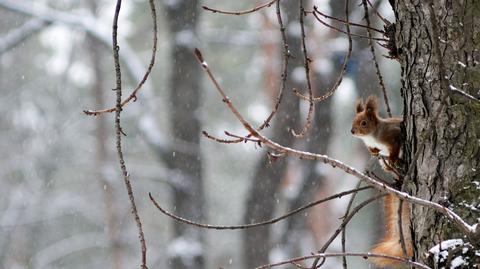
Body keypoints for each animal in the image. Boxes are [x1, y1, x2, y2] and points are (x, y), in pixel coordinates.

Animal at [348, 94, 412, 266]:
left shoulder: (394, 135)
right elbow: (374, 150)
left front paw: (393, 157)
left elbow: (395, 146)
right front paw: (374, 151)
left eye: (364, 123)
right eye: (353, 120)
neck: (372, 137)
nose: (352, 131)